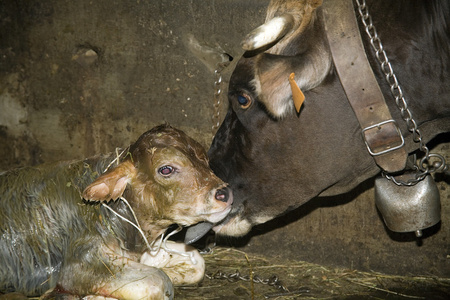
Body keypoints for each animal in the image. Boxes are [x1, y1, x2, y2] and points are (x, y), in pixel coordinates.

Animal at [0, 123, 232, 298]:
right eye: (166, 169)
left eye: (204, 159)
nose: (224, 193)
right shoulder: (78, 261)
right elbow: (158, 282)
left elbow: (196, 262)